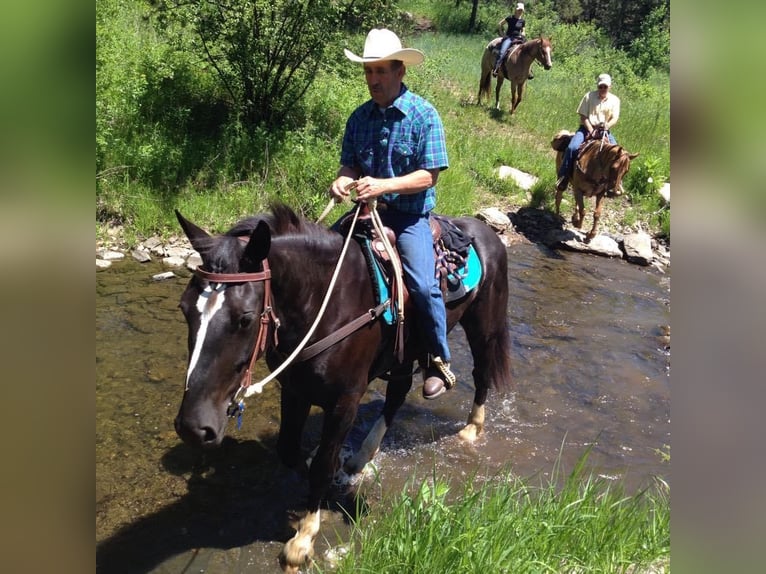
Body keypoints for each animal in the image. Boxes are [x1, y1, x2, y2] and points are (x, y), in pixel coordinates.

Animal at [171, 205, 512, 572]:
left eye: (245, 318)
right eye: (184, 308)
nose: (193, 427)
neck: (325, 303)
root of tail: (486, 232)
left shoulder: (345, 400)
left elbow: (322, 464)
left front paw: (302, 540)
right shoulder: (295, 389)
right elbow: (290, 450)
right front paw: (324, 475)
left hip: (483, 327)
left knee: (481, 373)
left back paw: (471, 428)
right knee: (397, 393)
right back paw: (361, 458)